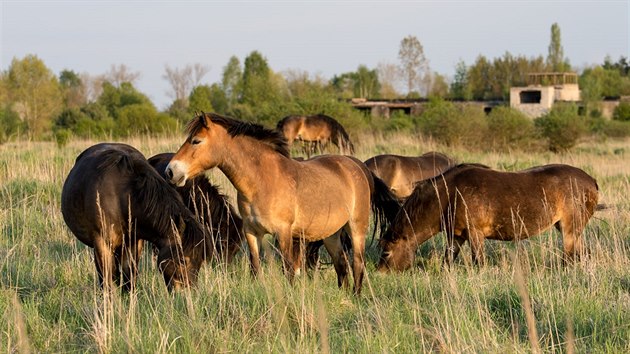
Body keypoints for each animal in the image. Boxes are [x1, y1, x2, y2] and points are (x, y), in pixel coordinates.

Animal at [60, 142, 207, 292]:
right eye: (183, 260)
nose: (188, 293)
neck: (122, 197)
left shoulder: (134, 243)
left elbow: (129, 275)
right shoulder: (102, 243)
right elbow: (107, 279)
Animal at [163, 112, 390, 294]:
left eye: (196, 141)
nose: (171, 171)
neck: (261, 181)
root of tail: (357, 166)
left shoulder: (284, 233)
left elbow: (288, 269)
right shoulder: (251, 232)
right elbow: (255, 267)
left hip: (356, 228)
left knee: (357, 263)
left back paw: (356, 296)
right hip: (331, 234)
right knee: (341, 264)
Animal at [380, 163, 604, 272]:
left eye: (387, 252)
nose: (380, 272)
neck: (449, 194)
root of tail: (591, 180)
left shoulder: (475, 235)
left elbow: (479, 262)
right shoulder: (456, 237)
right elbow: (447, 260)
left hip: (569, 229)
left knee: (570, 257)